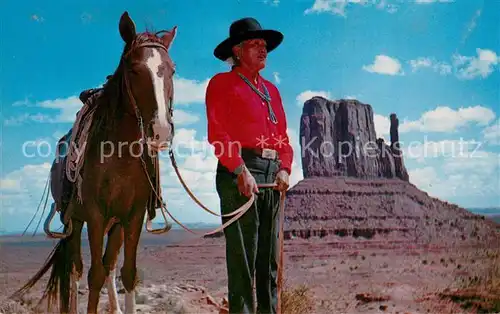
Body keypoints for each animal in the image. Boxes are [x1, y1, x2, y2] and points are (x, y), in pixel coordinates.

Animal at [9, 11, 179, 312]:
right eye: (134, 70)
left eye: (171, 70)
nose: (160, 130)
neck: (120, 157)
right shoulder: (95, 216)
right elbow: (94, 274)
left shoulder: (132, 217)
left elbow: (127, 273)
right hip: (75, 222)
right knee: (76, 268)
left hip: (115, 225)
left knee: (109, 264)